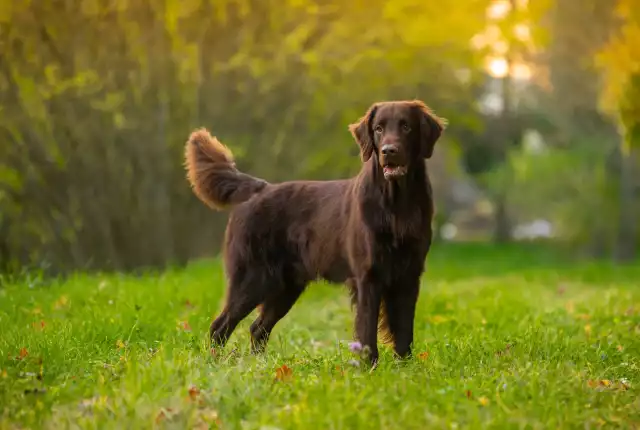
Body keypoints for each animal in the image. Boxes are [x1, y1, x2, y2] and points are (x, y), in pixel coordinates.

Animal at [184, 100, 444, 362]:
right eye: (378, 129)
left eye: (406, 126)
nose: (388, 151)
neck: (396, 205)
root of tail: (259, 189)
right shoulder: (367, 276)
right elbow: (367, 330)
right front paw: (369, 366)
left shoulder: (409, 274)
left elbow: (404, 330)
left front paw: (405, 366)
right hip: (253, 277)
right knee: (220, 325)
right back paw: (214, 363)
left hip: (286, 285)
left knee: (257, 328)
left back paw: (259, 363)